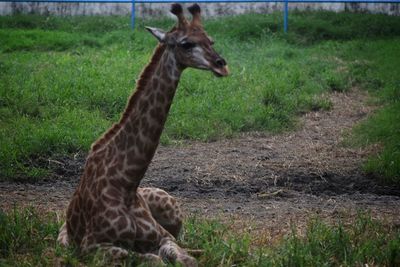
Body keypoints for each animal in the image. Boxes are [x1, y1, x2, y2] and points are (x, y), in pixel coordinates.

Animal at [57, 3, 230, 266]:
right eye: (186, 43)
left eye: (210, 40)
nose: (222, 65)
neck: (127, 183)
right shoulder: (91, 247)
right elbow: (148, 257)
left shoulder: (165, 237)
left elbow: (185, 258)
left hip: (173, 210)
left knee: (189, 235)